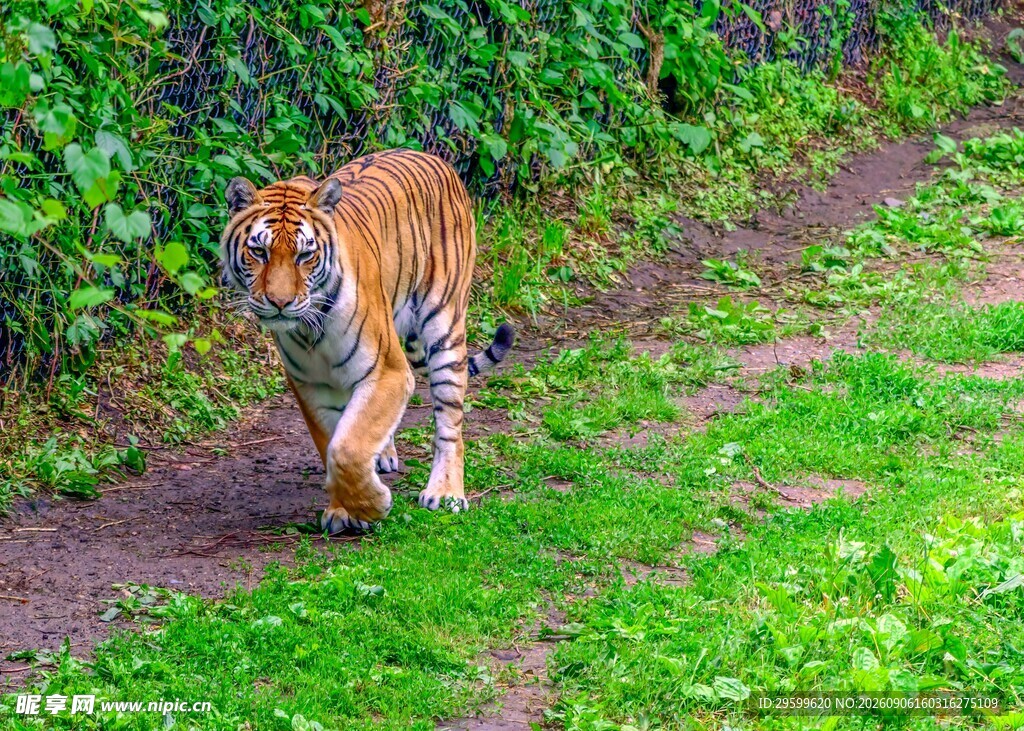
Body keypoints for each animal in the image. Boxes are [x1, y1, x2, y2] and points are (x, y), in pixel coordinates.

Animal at [219, 148, 515, 533]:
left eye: (304, 255)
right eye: (259, 253)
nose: (280, 302)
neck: (310, 330)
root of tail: (436, 159)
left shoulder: (388, 370)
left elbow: (347, 448)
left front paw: (371, 506)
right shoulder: (310, 384)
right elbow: (333, 444)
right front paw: (345, 509)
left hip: (445, 326)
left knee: (450, 424)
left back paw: (446, 493)